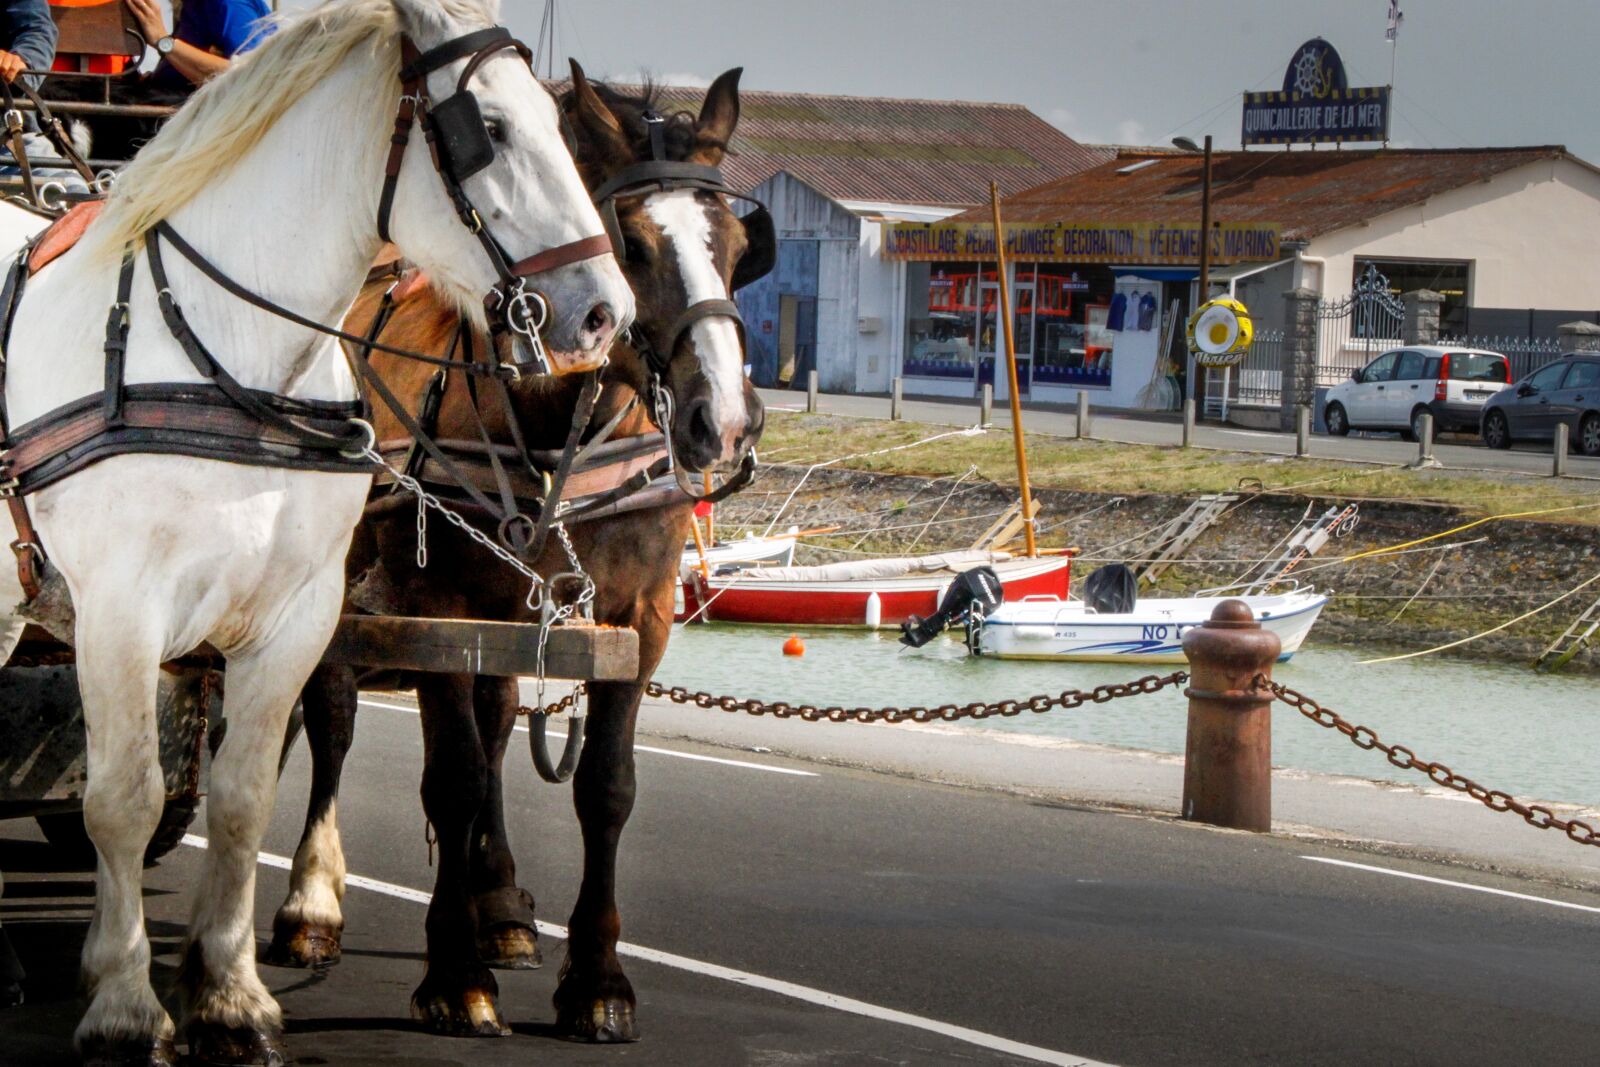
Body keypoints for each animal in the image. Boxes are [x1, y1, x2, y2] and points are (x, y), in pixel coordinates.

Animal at [3, 4, 633, 1062]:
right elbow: (123, 797)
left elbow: (242, 796)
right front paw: (128, 1007)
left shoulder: (295, 616)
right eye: (489, 131)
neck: (233, 362)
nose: (604, 312)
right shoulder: (118, 612)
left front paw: (230, 998)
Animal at [265, 66, 764, 1043]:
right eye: (633, 245)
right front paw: (454, 974)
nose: (722, 420)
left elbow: (604, 785)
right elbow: (450, 777)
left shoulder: (639, 616)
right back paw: (314, 902)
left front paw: (596, 979)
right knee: (334, 714)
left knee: (496, 721)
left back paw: (497, 903)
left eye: (732, 245)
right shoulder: (434, 605)